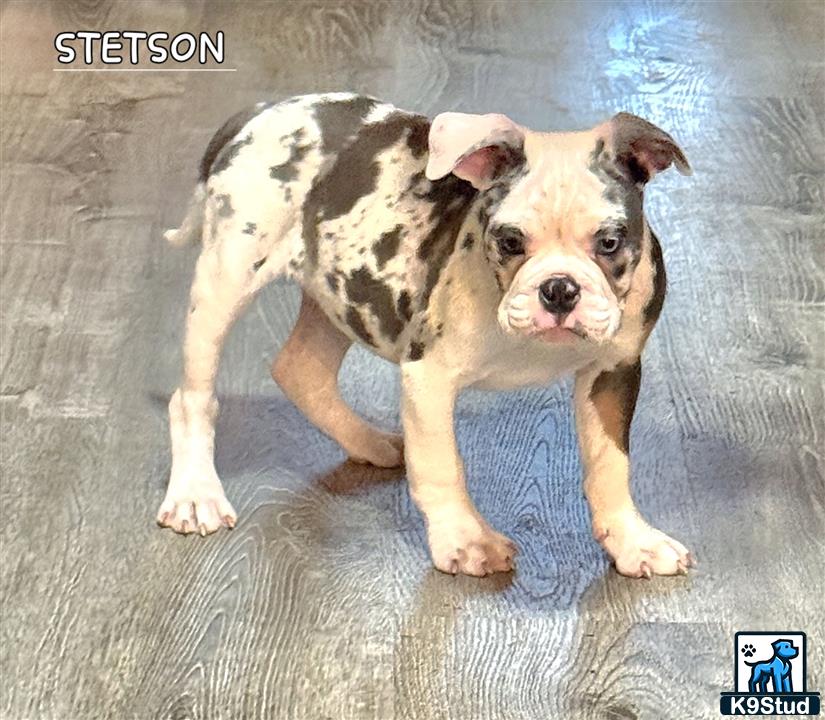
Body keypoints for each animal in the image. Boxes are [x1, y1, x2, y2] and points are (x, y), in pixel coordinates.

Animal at [158, 94, 692, 580]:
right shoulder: (429, 377)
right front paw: (467, 540)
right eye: (510, 241)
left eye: (610, 242)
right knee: (193, 397)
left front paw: (633, 541)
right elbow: (441, 465)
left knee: (301, 369)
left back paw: (371, 443)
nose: (559, 289)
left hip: (341, 296)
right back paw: (195, 494)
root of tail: (260, 112)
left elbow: (610, 464)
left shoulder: (613, 372)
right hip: (226, 280)